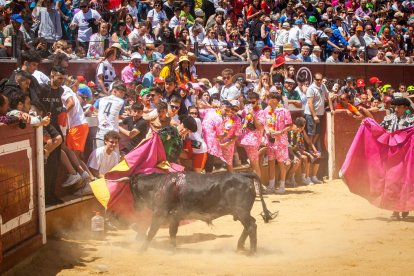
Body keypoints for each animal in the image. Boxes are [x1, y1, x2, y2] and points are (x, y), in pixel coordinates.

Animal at [123, 171, 278, 253]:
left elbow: (152, 231)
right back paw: (240, 246)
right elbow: (172, 233)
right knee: (249, 226)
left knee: (251, 225)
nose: (136, 207)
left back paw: (252, 252)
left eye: (131, 188)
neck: (159, 184)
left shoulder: (159, 213)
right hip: (240, 213)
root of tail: (245, 174)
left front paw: (142, 249)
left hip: (241, 212)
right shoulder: (175, 216)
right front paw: (173, 249)